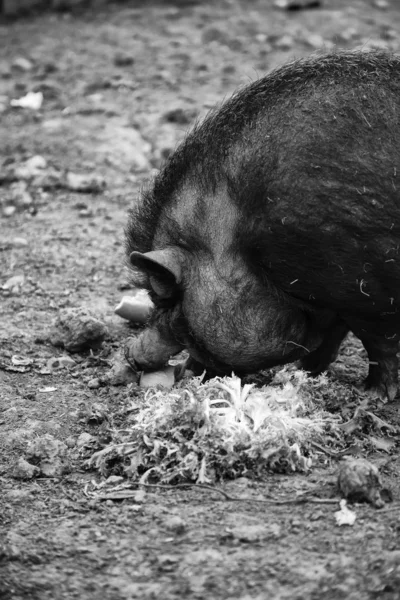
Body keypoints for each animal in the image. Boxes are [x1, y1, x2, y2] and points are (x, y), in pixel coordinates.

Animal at [125, 50, 400, 398]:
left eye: (167, 296)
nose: (130, 354)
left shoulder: (366, 292)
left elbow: (380, 345)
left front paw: (376, 394)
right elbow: (329, 340)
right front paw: (301, 374)